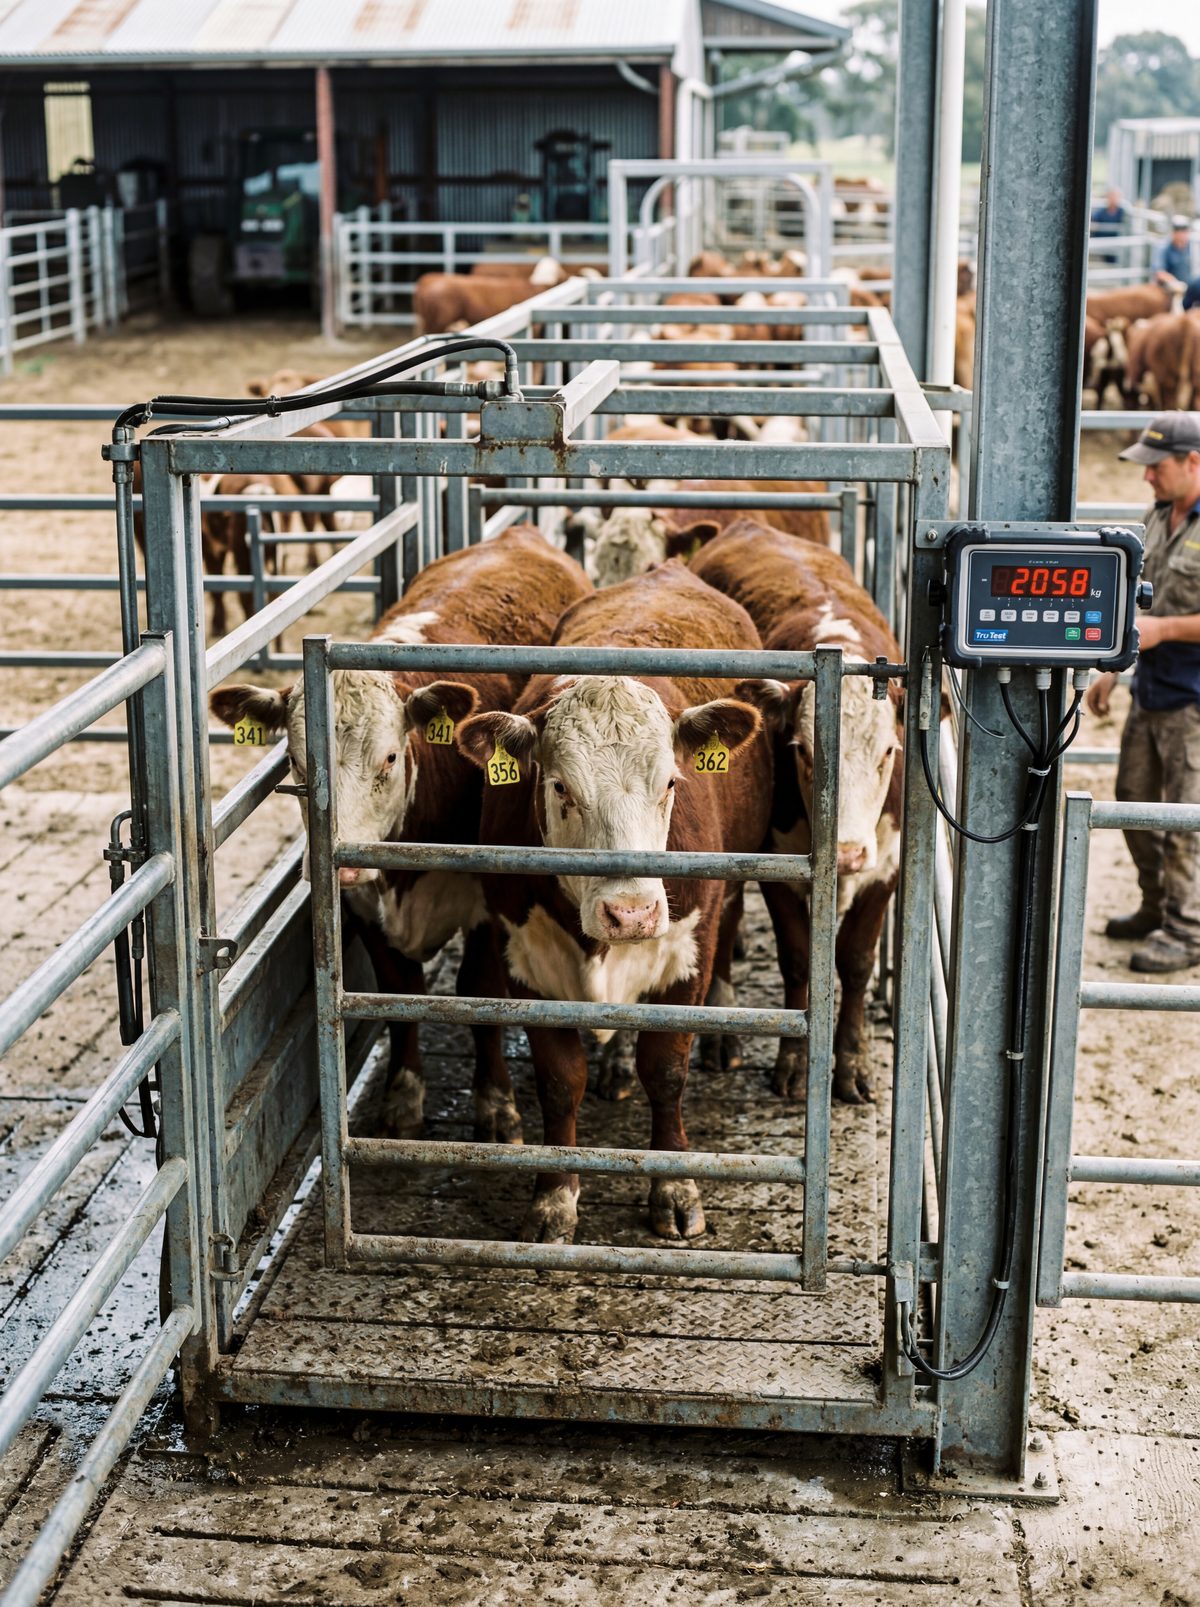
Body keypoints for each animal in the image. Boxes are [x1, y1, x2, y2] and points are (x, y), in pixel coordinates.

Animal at [210, 526, 592, 1140]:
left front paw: (494, 1103)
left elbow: (478, 994)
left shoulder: (489, 907)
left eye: (389, 757)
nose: (343, 865)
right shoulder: (364, 909)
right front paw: (403, 1097)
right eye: (295, 761)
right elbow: (399, 995)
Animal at [453, 560, 771, 1243]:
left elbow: (667, 1070)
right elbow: (558, 1081)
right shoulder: (527, 962)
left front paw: (674, 1188)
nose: (631, 914)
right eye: (559, 787)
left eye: (672, 782)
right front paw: (554, 1197)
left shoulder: (687, 952)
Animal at [689, 520, 904, 1104]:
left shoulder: (887, 866)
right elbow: (797, 957)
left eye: (888, 752)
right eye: (803, 751)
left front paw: (852, 1063)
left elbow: (855, 962)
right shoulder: (776, 863)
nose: (848, 853)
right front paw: (794, 1064)